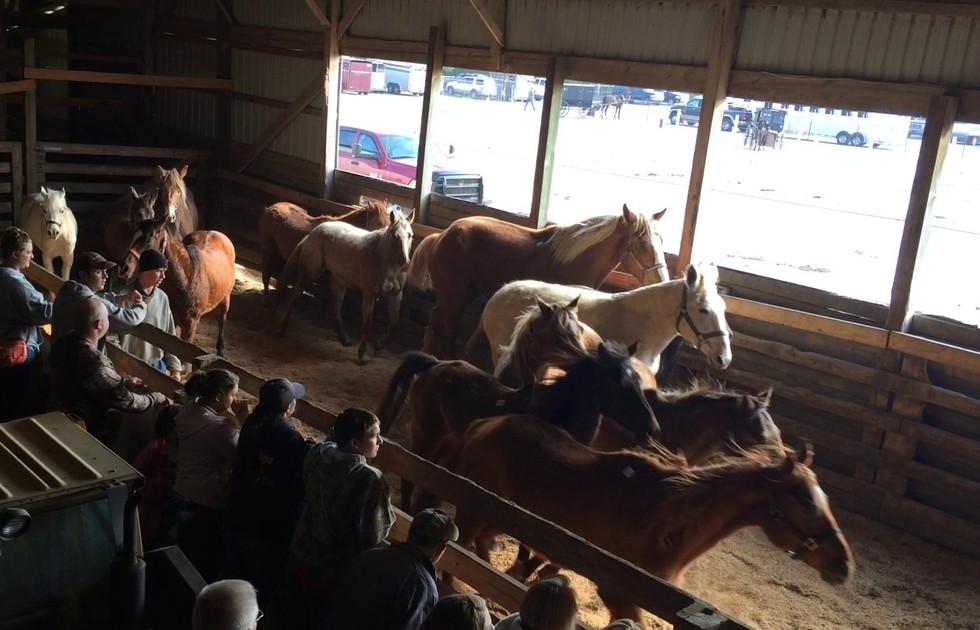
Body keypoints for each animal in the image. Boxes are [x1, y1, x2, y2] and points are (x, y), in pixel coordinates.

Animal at [116, 216, 236, 356]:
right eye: (133, 236)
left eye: (149, 240)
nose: (123, 268)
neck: (188, 280)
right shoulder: (172, 317)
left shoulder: (190, 326)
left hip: (225, 300)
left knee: (221, 319)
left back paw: (220, 350)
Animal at [276, 209, 415, 361]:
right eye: (394, 236)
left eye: (410, 235)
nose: (404, 261)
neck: (382, 257)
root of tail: (311, 235)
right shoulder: (369, 294)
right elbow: (367, 324)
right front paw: (362, 353)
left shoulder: (395, 295)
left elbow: (394, 323)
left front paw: (379, 345)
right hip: (309, 275)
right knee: (292, 296)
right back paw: (282, 328)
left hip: (338, 282)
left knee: (335, 308)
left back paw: (345, 339)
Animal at [375, 340, 658, 513]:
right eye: (615, 383)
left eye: (637, 380)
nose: (652, 427)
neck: (552, 411)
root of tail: (436, 364)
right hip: (426, 436)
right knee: (410, 477)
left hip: (445, 443)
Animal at [407, 205, 669, 358]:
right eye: (642, 243)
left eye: (661, 240)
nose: (661, 279)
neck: (575, 260)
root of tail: (441, 235)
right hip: (455, 296)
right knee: (447, 330)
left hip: (460, 293)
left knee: (435, 315)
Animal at [444, 421, 853, 627]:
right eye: (805, 502)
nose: (843, 566)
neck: (666, 522)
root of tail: (482, 425)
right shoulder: (622, 595)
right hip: (475, 511)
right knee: (456, 555)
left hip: (496, 517)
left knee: (480, 551)